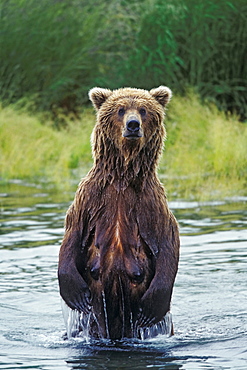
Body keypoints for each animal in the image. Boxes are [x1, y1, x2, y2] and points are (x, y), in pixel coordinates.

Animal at [58, 85, 180, 340]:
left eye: (143, 110)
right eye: (120, 109)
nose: (133, 125)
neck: (123, 176)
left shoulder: (151, 205)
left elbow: (168, 244)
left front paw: (152, 307)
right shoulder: (90, 199)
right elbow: (72, 236)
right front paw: (77, 295)